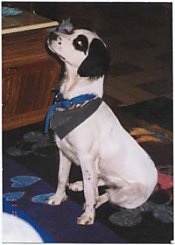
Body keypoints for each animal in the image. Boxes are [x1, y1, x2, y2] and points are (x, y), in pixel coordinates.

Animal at [46, 28, 157, 224]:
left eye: (80, 43)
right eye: (70, 31)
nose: (52, 34)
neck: (75, 103)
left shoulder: (87, 158)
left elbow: (90, 193)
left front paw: (88, 216)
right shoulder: (64, 151)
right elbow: (61, 178)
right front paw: (58, 198)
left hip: (125, 196)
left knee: (107, 194)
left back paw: (94, 200)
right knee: (102, 182)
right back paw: (79, 184)